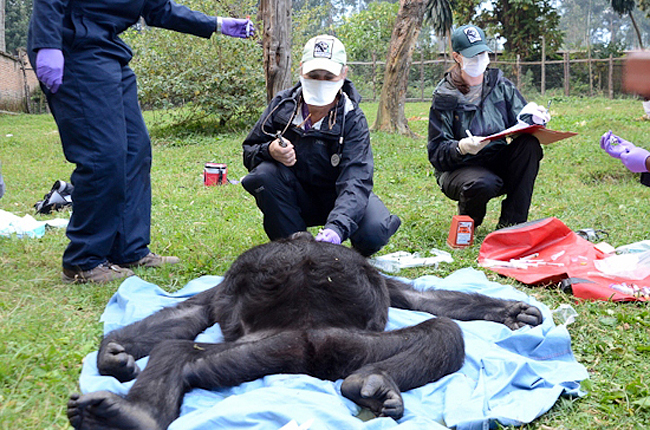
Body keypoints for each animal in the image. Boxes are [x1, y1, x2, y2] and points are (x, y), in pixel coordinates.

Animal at [67, 233, 540, 428]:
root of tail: (308, 341)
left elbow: (424, 299)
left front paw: (510, 311)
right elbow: (191, 312)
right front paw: (113, 354)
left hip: (328, 347)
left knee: (442, 331)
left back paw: (373, 384)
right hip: (278, 350)